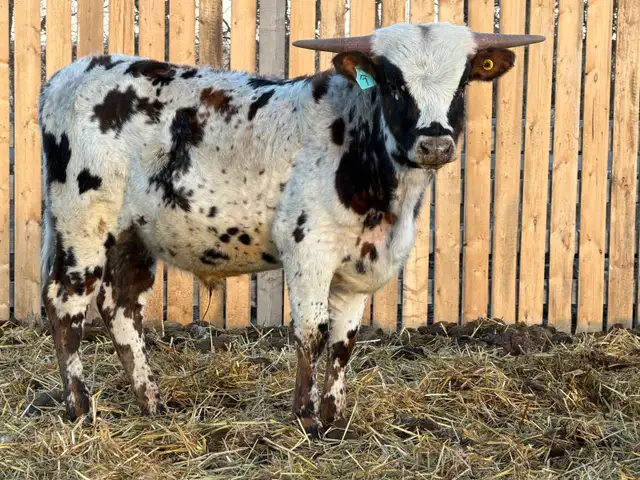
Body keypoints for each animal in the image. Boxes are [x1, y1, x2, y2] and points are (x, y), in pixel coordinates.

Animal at [38, 21, 543, 434]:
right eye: (393, 83)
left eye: (463, 82)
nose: (435, 142)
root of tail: (72, 73)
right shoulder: (309, 250)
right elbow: (312, 332)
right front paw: (306, 417)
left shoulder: (356, 267)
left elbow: (343, 341)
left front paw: (334, 417)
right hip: (82, 225)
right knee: (65, 303)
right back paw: (80, 409)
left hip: (131, 237)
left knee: (122, 308)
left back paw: (151, 402)